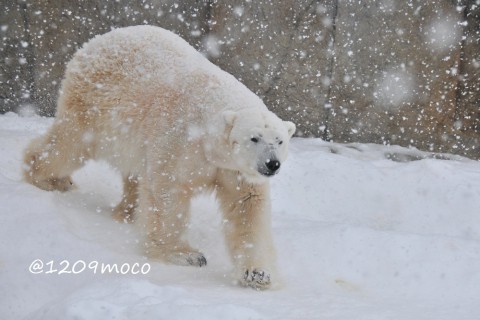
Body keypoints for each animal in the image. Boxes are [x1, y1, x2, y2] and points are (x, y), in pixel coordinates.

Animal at [24, 25, 294, 290]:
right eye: (254, 138)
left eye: (280, 140)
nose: (272, 164)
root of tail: (97, 41)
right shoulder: (179, 139)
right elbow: (168, 192)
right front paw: (185, 254)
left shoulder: (236, 170)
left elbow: (247, 207)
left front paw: (257, 274)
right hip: (94, 103)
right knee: (71, 143)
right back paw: (48, 177)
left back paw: (127, 212)